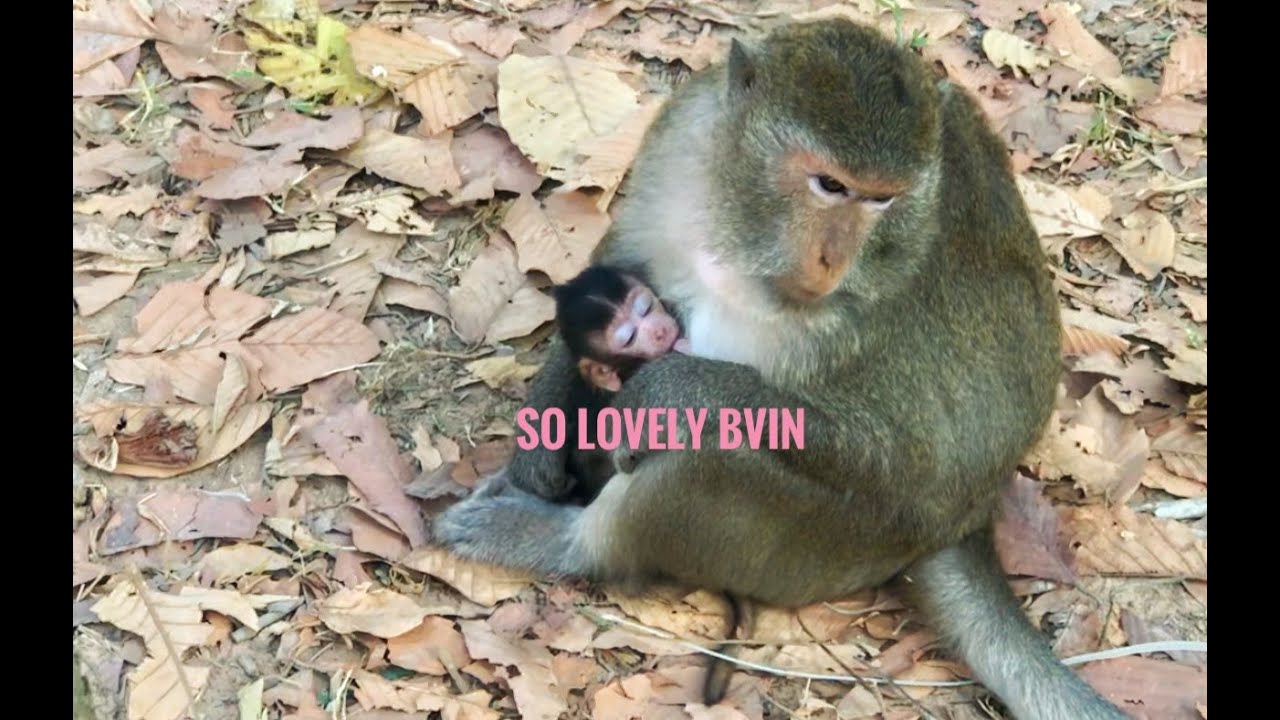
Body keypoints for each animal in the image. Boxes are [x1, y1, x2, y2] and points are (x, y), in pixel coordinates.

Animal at [436, 19, 1125, 720]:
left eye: (883, 200)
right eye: (830, 185)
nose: (832, 260)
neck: (747, 232)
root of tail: (970, 524)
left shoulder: (902, 293)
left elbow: (907, 462)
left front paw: (672, 392)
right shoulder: (684, 132)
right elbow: (624, 257)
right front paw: (541, 433)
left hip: (833, 547)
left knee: (710, 459)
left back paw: (564, 543)